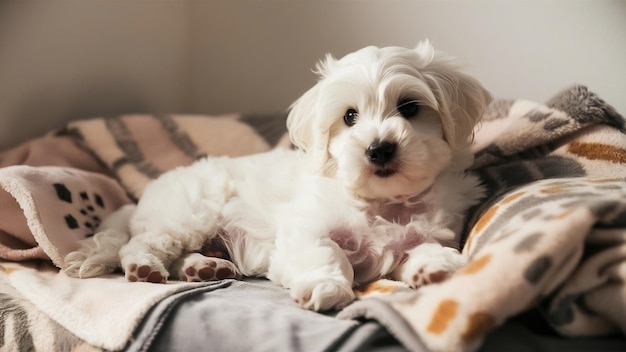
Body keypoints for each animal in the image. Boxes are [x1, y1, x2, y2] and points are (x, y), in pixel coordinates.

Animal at [64, 42, 492, 310]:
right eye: (350, 116)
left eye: (409, 107)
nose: (379, 148)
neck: (382, 201)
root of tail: (141, 201)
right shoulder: (304, 229)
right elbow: (328, 252)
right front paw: (324, 287)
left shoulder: (433, 230)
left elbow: (423, 248)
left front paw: (435, 268)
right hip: (188, 214)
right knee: (141, 244)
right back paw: (145, 266)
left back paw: (204, 267)